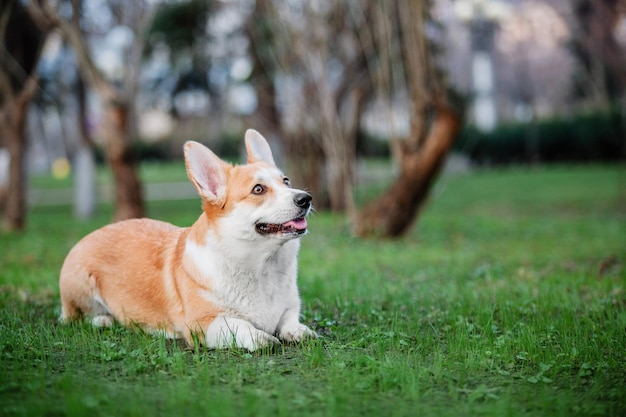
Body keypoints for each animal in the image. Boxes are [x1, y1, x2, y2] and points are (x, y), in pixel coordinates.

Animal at [58, 128, 314, 350]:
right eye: (258, 189)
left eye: (286, 181)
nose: (306, 198)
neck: (262, 266)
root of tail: (91, 234)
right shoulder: (203, 323)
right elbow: (239, 324)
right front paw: (261, 336)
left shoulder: (289, 308)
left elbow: (290, 321)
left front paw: (301, 331)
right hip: (80, 287)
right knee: (75, 317)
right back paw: (103, 319)